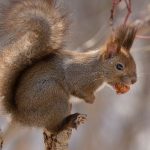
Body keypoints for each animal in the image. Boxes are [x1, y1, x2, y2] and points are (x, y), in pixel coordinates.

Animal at [0, 0, 137, 133]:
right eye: (119, 66)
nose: (134, 81)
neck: (97, 69)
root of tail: (21, 116)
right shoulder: (77, 75)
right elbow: (78, 89)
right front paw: (92, 99)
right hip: (55, 99)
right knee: (53, 128)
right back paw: (68, 122)